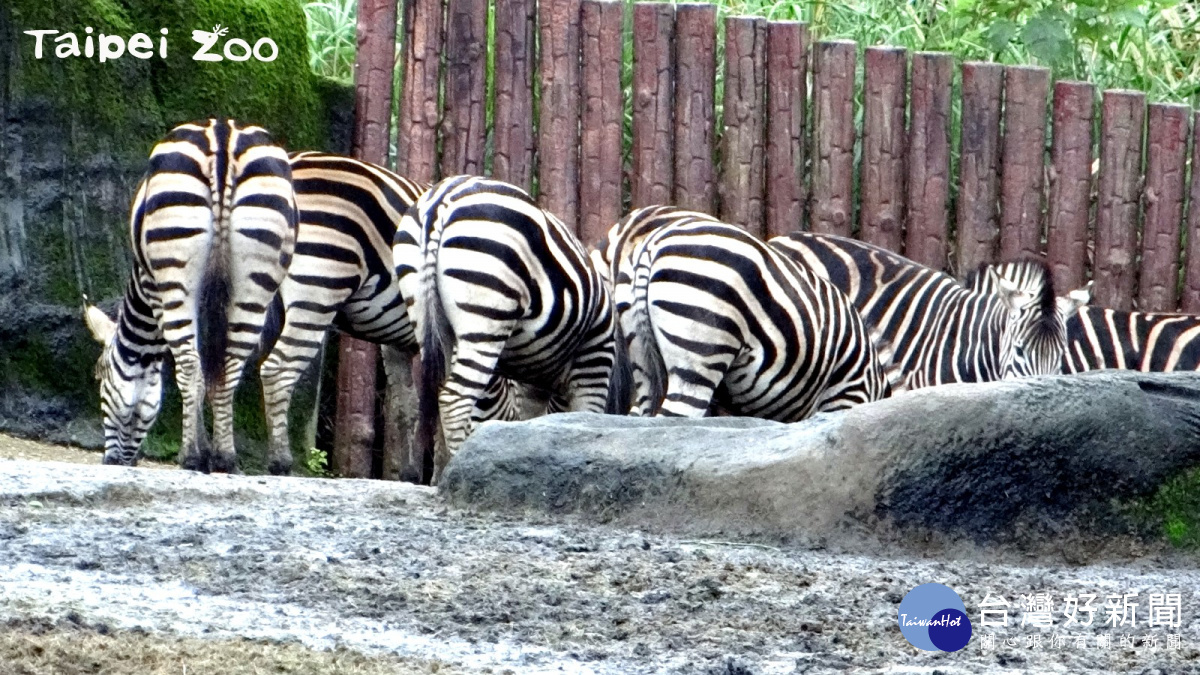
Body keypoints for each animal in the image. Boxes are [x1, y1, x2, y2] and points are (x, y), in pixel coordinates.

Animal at [84, 117, 297, 473]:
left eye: (100, 379)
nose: (110, 462)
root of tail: (223, 134)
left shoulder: (154, 289)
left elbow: (189, 365)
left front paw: (198, 451)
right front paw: (212, 451)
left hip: (175, 271)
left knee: (187, 363)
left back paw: (191, 456)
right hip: (256, 276)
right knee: (231, 364)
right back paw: (228, 458)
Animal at [84, 153, 530, 478]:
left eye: (101, 382)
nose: (108, 463)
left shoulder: (402, 341)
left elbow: (408, 406)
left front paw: (416, 473)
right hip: (313, 287)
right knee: (272, 368)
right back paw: (274, 461)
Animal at [398, 172, 633, 478]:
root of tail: (442, 199)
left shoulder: (533, 380)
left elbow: (529, 423)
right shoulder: (594, 361)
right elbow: (585, 416)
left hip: (424, 311)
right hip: (486, 311)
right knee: (454, 399)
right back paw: (461, 466)